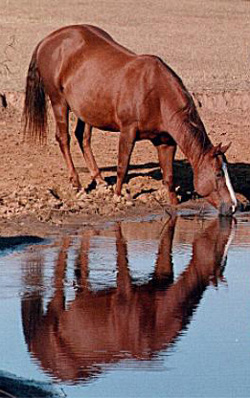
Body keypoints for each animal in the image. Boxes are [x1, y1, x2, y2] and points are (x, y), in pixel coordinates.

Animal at [22, 23, 237, 216]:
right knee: (64, 139)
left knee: (82, 137)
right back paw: (78, 184)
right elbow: (122, 166)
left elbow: (168, 176)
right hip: (59, 101)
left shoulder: (166, 141)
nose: (234, 207)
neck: (157, 94)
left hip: (85, 109)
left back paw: (100, 181)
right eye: (218, 173)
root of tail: (47, 40)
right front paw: (118, 196)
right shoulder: (128, 131)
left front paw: (174, 203)